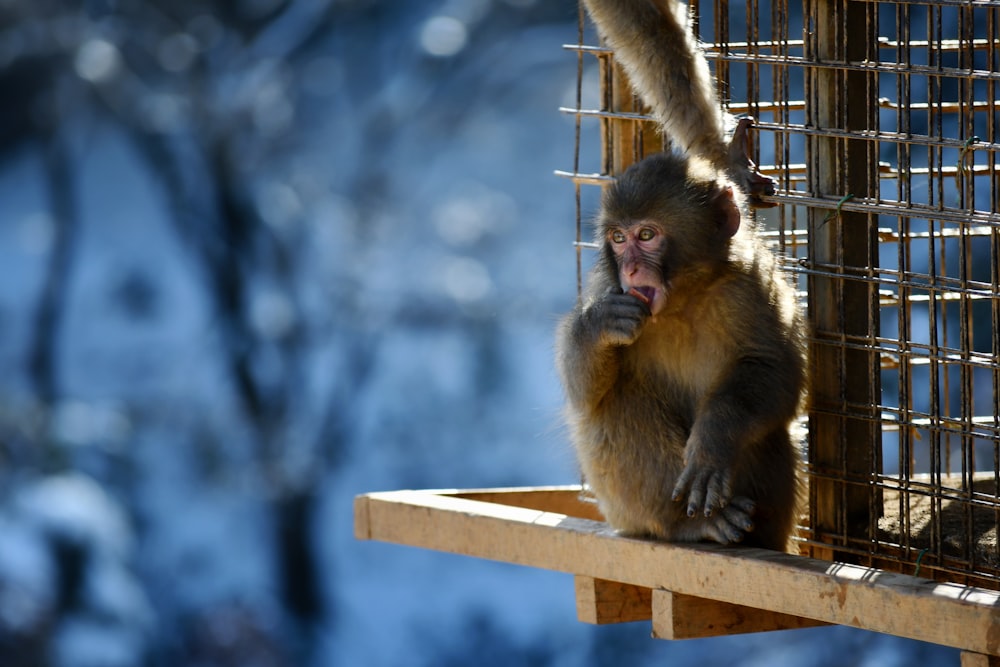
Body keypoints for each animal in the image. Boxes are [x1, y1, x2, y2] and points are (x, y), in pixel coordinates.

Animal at [556, 153, 804, 552]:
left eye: (646, 235)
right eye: (618, 238)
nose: (630, 269)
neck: (682, 299)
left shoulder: (753, 285)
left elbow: (773, 369)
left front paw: (713, 441)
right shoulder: (607, 286)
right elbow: (583, 395)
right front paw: (597, 325)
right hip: (627, 516)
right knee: (615, 401)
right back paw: (690, 524)